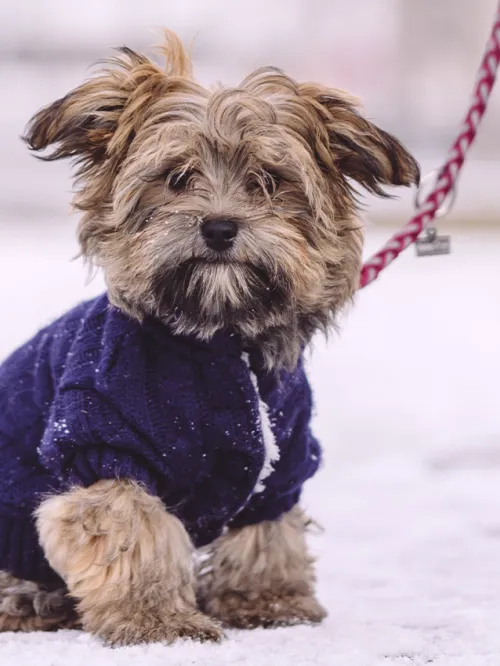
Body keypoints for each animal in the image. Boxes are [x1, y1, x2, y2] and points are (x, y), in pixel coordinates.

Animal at [0, 32, 418, 644]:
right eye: (176, 178)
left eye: (269, 181)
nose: (220, 227)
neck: (218, 339)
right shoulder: (103, 445)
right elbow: (133, 531)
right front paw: (156, 617)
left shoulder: (284, 457)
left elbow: (268, 534)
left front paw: (268, 601)